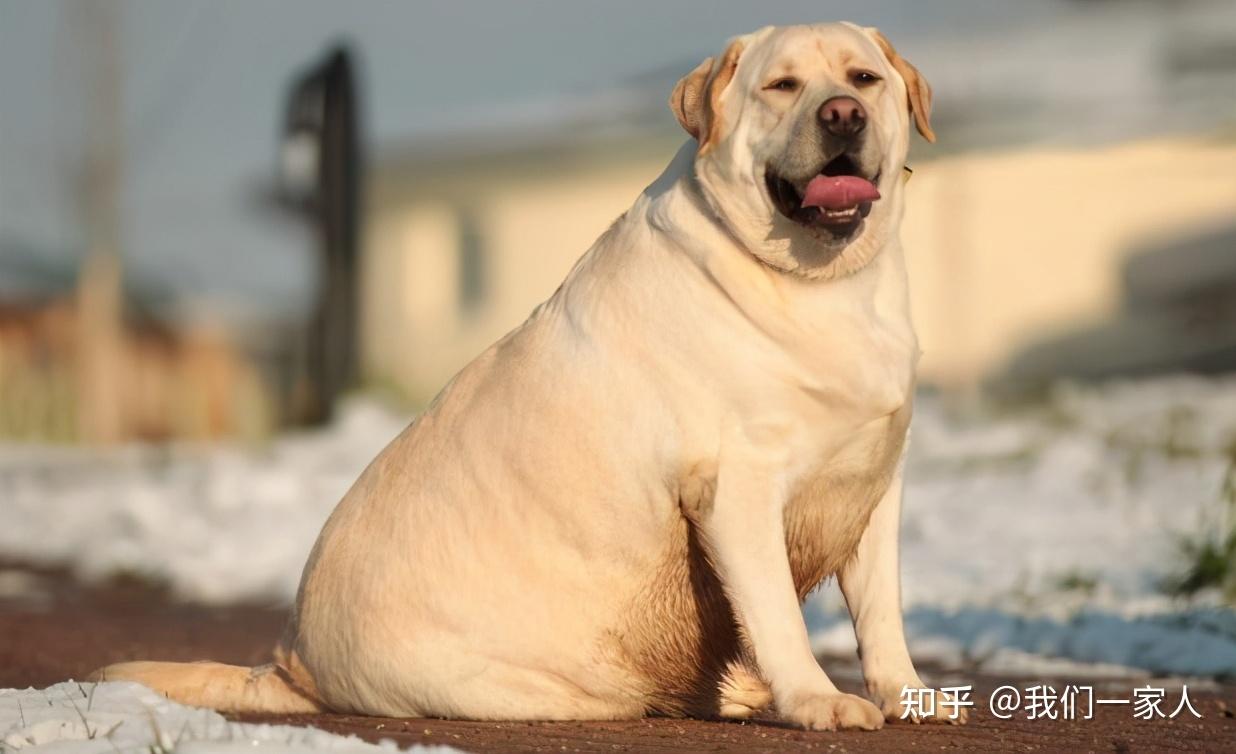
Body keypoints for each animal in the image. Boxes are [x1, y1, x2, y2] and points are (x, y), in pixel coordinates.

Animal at [98, 21, 964, 726]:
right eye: (782, 86)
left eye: (863, 79)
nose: (842, 115)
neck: (824, 285)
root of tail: (289, 661)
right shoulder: (738, 488)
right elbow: (779, 611)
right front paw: (817, 699)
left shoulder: (874, 483)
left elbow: (881, 610)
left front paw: (905, 694)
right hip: (552, 684)